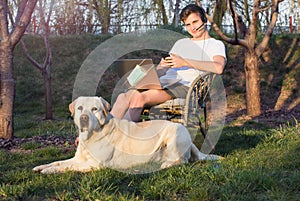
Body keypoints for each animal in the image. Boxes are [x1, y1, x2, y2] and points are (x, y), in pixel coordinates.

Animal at [33, 96, 223, 174]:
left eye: (94, 109)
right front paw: (42, 167)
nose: (84, 118)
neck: (92, 136)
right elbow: (59, 162)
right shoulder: (78, 158)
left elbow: (67, 167)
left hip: (174, 134)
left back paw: (166, 164)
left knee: (183, 161)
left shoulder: (95, 165)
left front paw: (50, 171)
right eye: (80, 108)